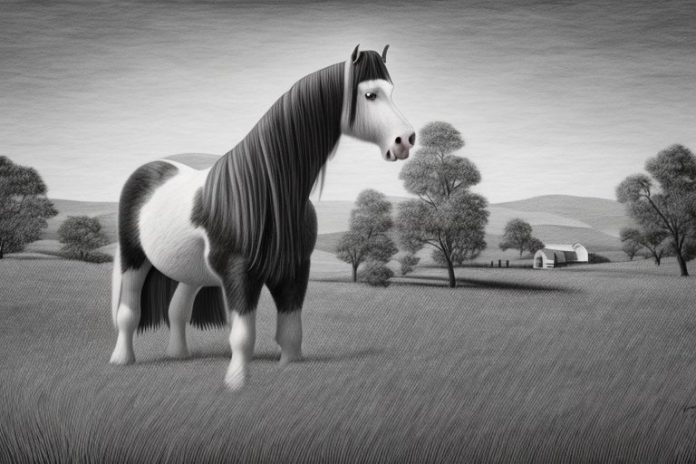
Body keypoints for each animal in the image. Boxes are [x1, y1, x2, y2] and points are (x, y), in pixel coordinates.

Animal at [109, 45, 415, 389]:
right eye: (370, 94)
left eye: (391, 90)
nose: (406, 140)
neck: (267, 193)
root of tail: (149, 170)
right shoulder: (240, 273)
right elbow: (243, 335)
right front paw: (236, 382)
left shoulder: (294, 271)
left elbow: (291, 331)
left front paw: (288, 367)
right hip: (134, 260)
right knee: (128, 313)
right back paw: (122, 359)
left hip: (190, 270)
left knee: (177, 310)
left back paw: (179, 355)